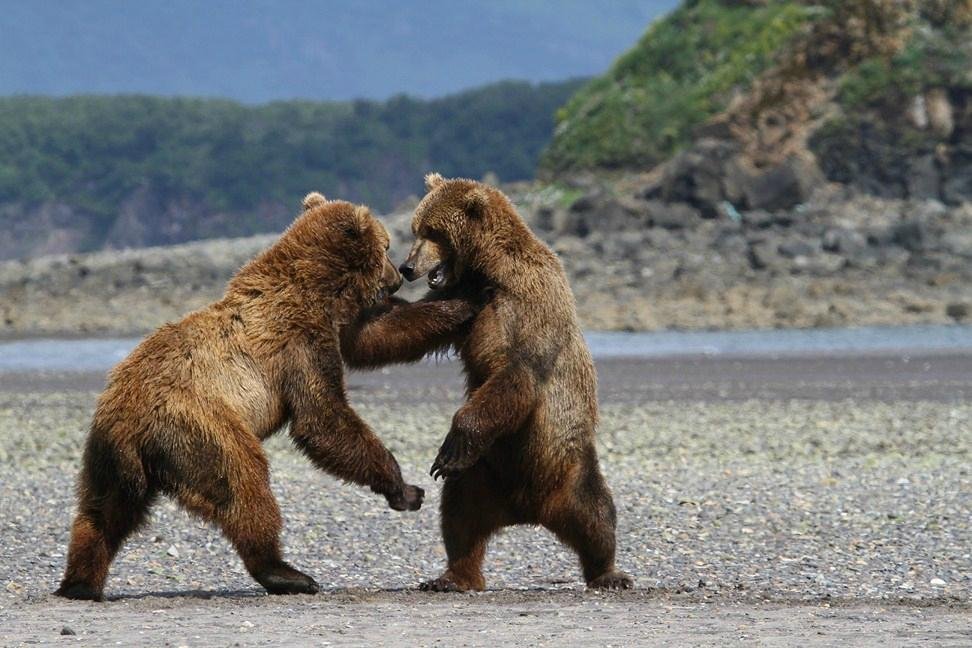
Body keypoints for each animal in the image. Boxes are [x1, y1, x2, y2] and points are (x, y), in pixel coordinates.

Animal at [55, 192, 476, 604]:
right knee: (242, 483)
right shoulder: (298, 344)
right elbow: (322, 418)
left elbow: (377, 332)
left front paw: (457, 304)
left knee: (103, 512)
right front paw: (405, 490)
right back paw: (287, 573)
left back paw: (80, 582)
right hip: (197, 427)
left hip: (108, 454)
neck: (317, 289)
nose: (397, 275)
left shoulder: (333, 324)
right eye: (387, 246)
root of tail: (125, 417)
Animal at [346, 175, 636, 588]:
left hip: (568, 464)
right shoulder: (462, 296)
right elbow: (400, 328)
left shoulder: (533, 299)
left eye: (432, 231)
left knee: (596, 512)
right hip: (481, 474)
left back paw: (609, 572)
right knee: (459, 517)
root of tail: (530, 511)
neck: (491, 269)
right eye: (417, 229)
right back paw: (452, 577)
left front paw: (452, 442)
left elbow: (520, 372)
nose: (407, 266)